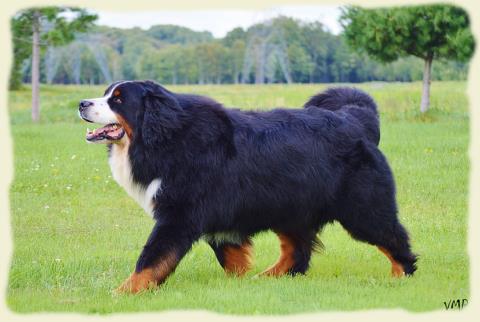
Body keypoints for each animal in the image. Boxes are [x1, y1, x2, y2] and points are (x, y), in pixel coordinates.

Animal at [78, 81, 416, 294]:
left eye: (118, 99)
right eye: (106, 93)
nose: (82, 103)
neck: (163, 138)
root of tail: (354, 119)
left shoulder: (179, 215)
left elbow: (151, 258)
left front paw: (123, 292)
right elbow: (229, 256)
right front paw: (238, 283)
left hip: (362, 208)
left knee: (392, 237)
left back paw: (402, 276)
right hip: (290, 208)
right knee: (297, 252)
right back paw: (267, 278)